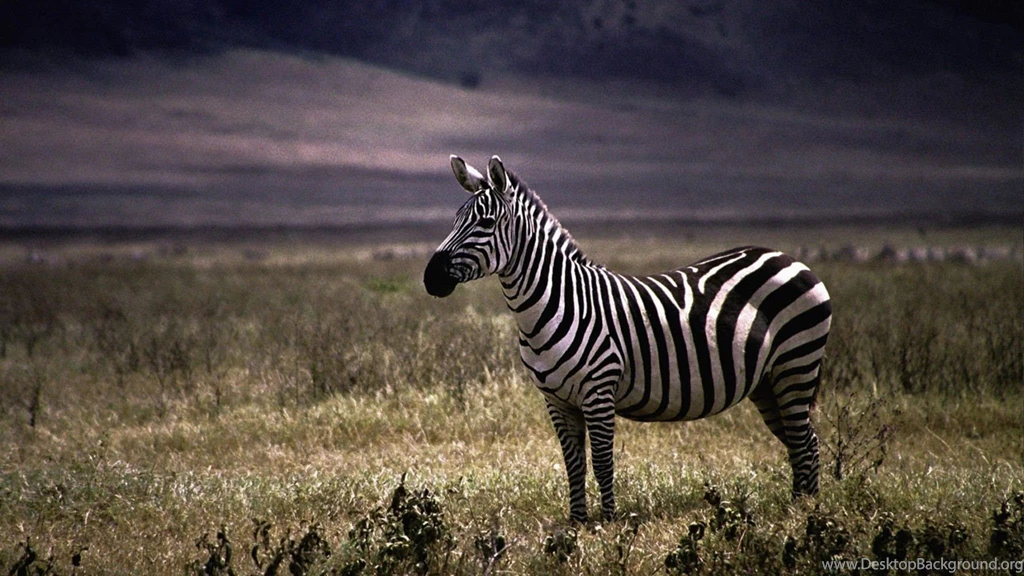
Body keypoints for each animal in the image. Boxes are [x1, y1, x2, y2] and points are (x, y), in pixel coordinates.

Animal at [424, 155, 832, 523]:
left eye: (486, 222)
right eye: (455, 219)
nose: (431, 277)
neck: (557, 302)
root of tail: (788, 257)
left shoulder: (598, 390)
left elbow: (603, 462)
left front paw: (609, 525)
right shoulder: (556, 400)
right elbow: (573, 464)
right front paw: (577, 524)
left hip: (796, 365)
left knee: (805, 442)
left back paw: (806, 516)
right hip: (767, 382)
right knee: (800, 443)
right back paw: (798, 508)